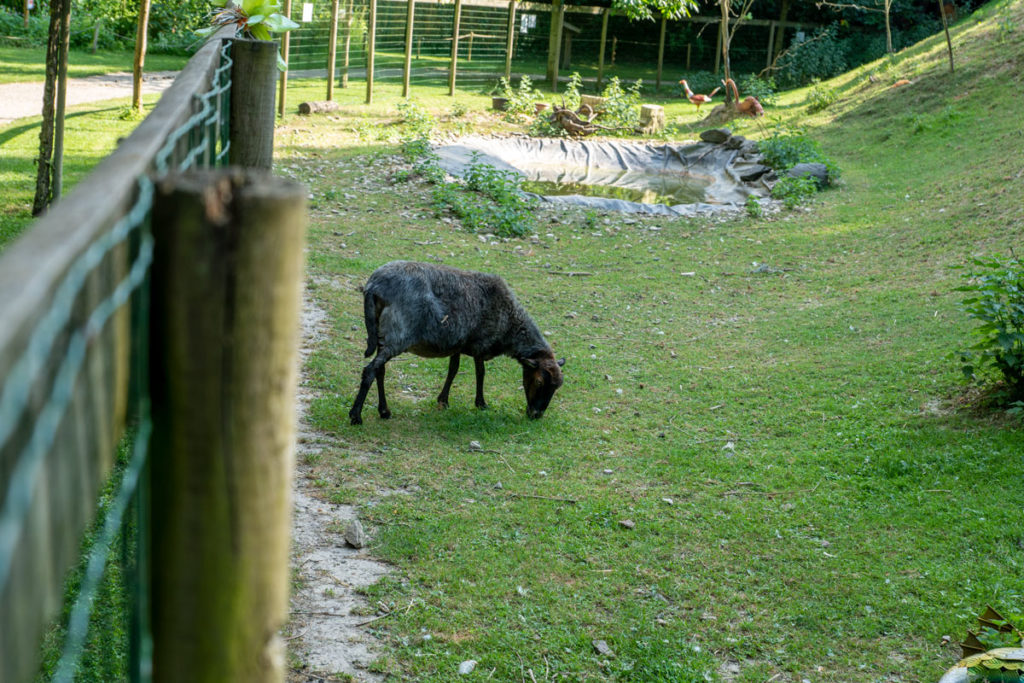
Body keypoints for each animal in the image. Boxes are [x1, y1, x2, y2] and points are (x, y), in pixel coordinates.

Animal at [350, 260, 561, 423]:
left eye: (557, 387)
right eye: (539, 381)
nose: (536, 414)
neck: (510, 324)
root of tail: (374, 286)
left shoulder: (458, 343)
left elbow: (453, 369)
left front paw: (443, 400)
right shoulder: (480, 344)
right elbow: (480, 373)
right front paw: (481, 403)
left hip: (382, 334)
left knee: (380, 370)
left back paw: (384, 411)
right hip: (398, 336)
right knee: (370, 371)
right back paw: (356, 416)